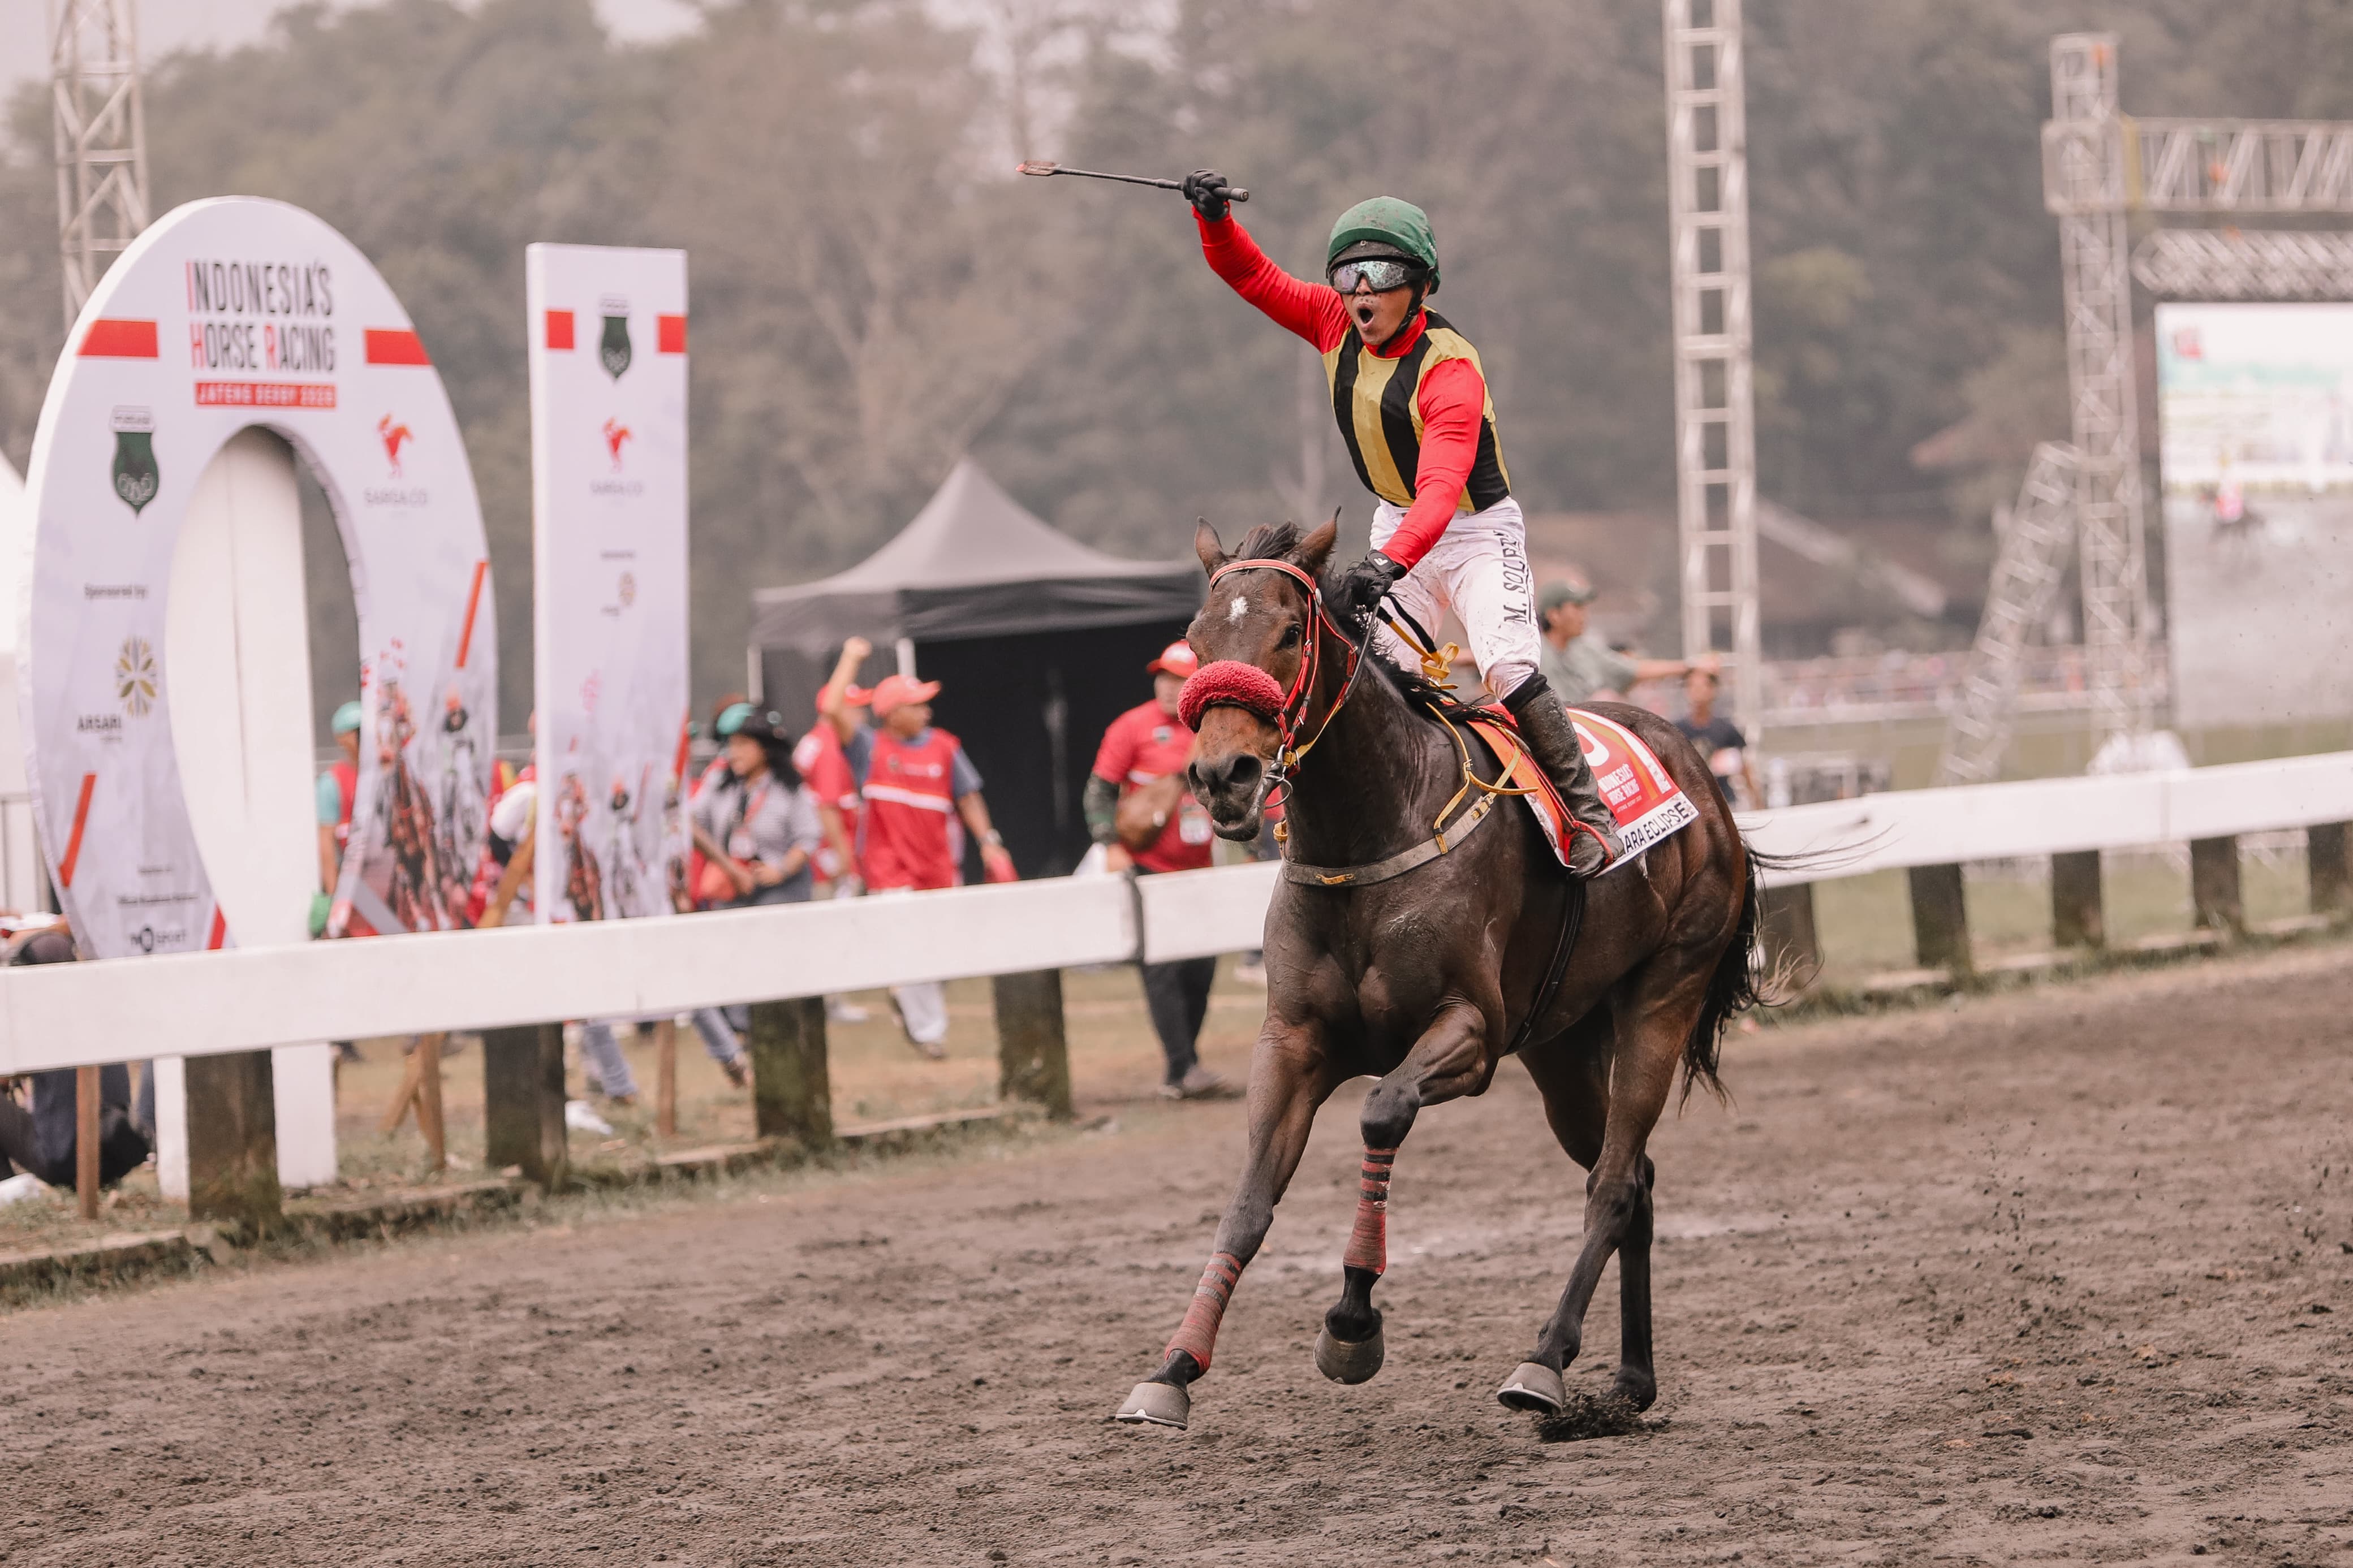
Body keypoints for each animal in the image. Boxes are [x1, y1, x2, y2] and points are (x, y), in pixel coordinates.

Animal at [1113, 516, 1764, 1431]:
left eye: (1289, 632)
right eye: (1196, 638)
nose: (1220, 777)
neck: (1371, 833)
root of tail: (1704, 781)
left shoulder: (1470, 1034)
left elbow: (1382, 1111)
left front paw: (1352, 1321)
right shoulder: (1293, 1043)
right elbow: (1247, 1202)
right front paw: (1173, 1367)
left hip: (1662, 995)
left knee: (1610, 1182)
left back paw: (1544, 1360)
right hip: (1562, 1047)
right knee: (1634, 1176)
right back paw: (1631, 1379)